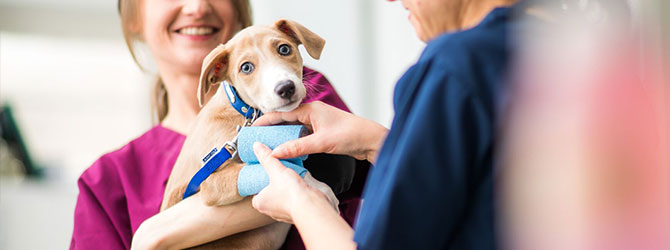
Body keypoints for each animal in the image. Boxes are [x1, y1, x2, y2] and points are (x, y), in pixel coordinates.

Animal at [161, 20, 338, 250]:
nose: (285, 88)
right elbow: (270, 166)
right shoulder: (210, 182)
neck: (245, 112)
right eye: (246, 67)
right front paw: (317, 187)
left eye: (284, 49)